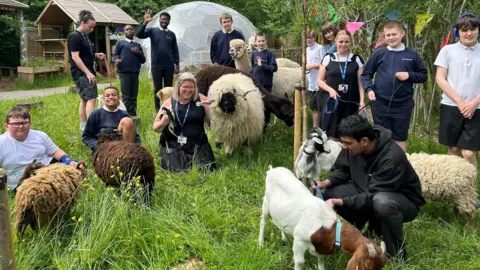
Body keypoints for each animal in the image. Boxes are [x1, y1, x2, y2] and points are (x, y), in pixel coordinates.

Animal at [258, 166, 386, 268]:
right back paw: (260, 243)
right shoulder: (299, 240)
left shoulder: (321, 246)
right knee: (263, 222)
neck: (328, 228)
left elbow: (321, 260)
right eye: (367, 265)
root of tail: (273, 169)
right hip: (266, 204)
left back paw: (284, 238)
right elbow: (300, 262)